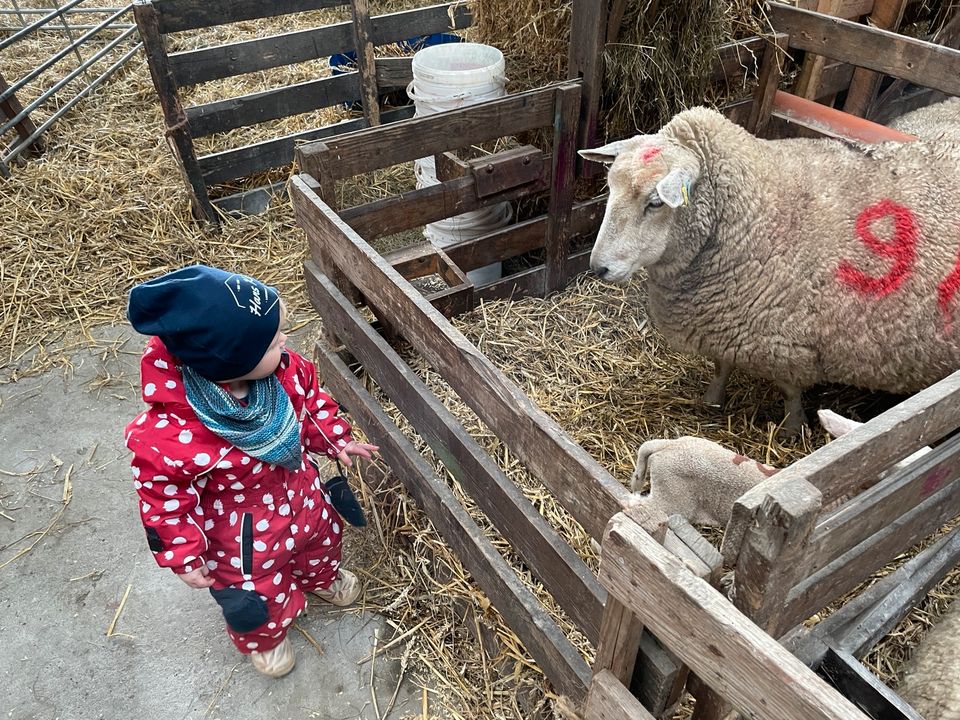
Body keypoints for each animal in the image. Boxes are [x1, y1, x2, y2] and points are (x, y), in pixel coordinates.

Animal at [576, 107, 960, 434]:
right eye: (610, 187)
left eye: (655, 202)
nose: (598, 267)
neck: (758, 213)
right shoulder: (726, 322)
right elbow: (722, 366)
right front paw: (712, 400)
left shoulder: (787, 344)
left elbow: (790, 391)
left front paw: (793, 429)